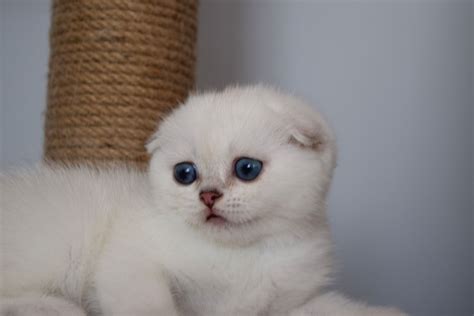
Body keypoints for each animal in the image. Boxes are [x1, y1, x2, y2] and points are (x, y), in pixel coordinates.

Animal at [0, 85, 408, 314]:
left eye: (246, 168)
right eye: (185, 174)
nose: (208, 195)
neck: (243, 258)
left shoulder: (285, 305)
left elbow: (332, 307)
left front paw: (386, 312)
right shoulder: (129, 260)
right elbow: (149, 304)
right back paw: (56, 307)